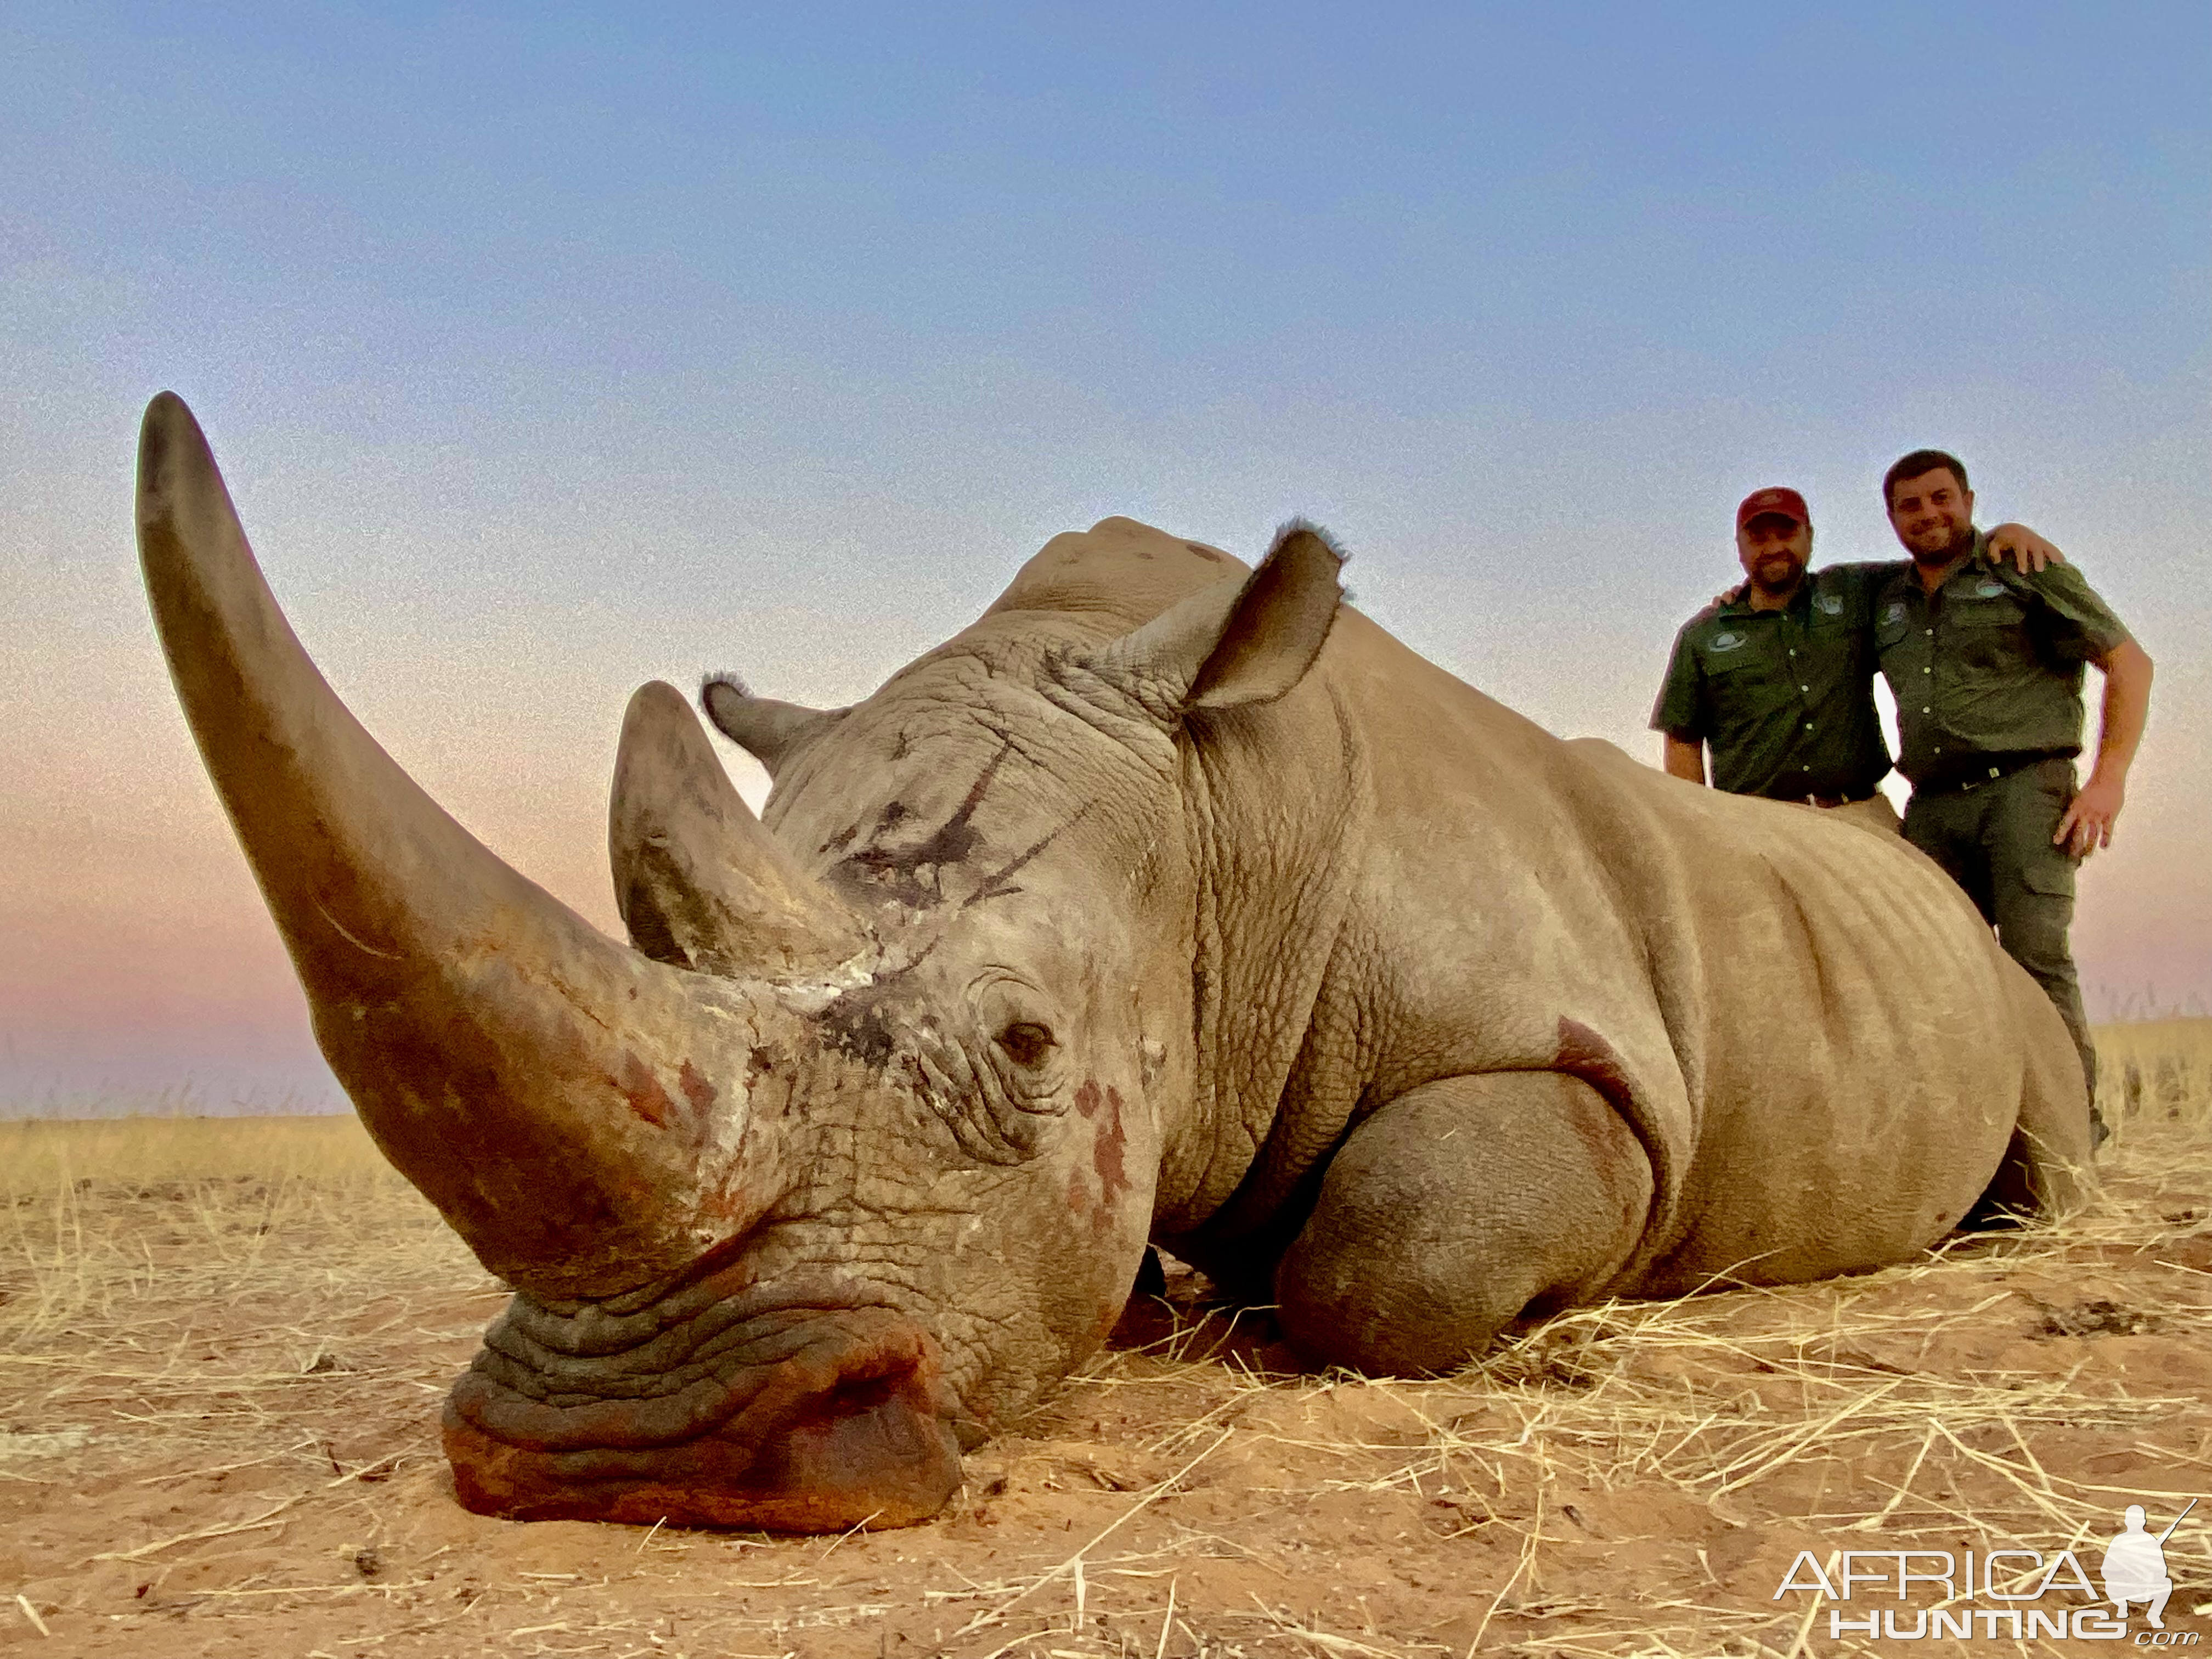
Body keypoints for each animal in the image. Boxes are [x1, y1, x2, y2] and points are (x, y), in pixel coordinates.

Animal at [143, 389, 2088, 1531]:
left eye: (1023, 1047)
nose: (615, 1450)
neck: (1227, 827)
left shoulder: (1590, 1064)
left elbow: (1393, 1256)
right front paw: (1166, 1305)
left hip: (1981, 958)